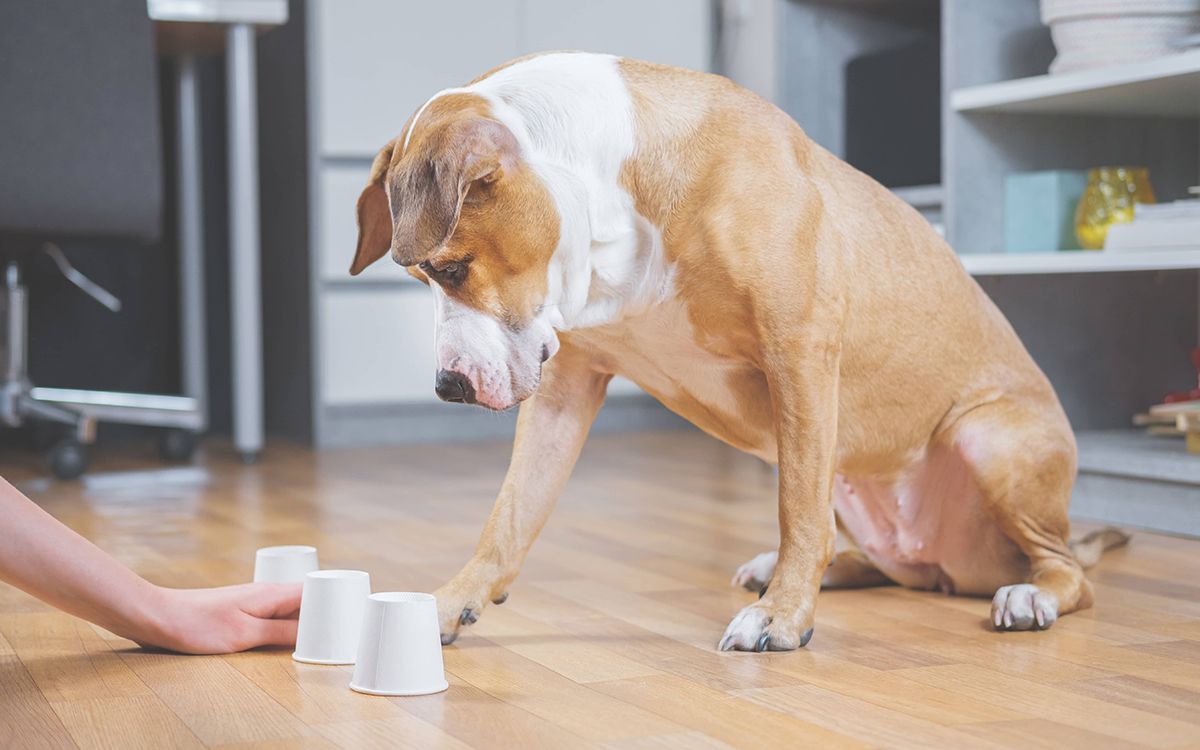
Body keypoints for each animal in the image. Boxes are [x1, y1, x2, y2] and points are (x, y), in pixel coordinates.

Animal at [350, 52, 1123, 648]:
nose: (447, 386)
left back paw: (1028, 596)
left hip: (988, 440)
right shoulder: (567, 388)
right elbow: (510, 515)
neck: (614, 197)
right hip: (855, 473)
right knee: (882, 558)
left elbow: (796, 510)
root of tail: (955, 565)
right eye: (422, 277)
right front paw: (451, 601)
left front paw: (781, 619)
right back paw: (817, 570)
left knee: (1065, 570)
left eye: (452, 269)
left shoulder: (799, 353)